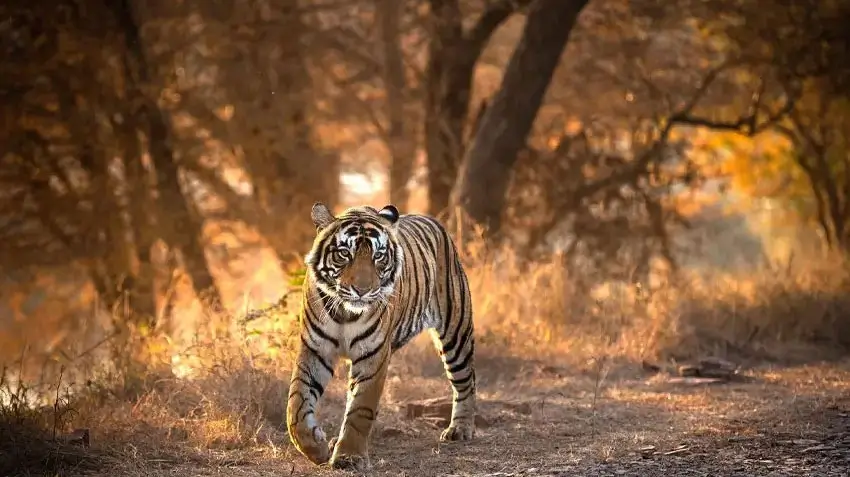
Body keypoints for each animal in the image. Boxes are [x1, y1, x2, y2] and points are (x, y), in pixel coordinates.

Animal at [285, 202, 476, 471]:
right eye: (344, 253)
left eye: (378, 256)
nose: (362, 290)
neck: (345, 313)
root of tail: (433, 220)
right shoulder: (315, 349)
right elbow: (297, 403)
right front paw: (316, 448)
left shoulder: (373, 356)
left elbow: (360, 409)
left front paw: (350, 456)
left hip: (456, 335)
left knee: (466, 382)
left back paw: (460, 429)